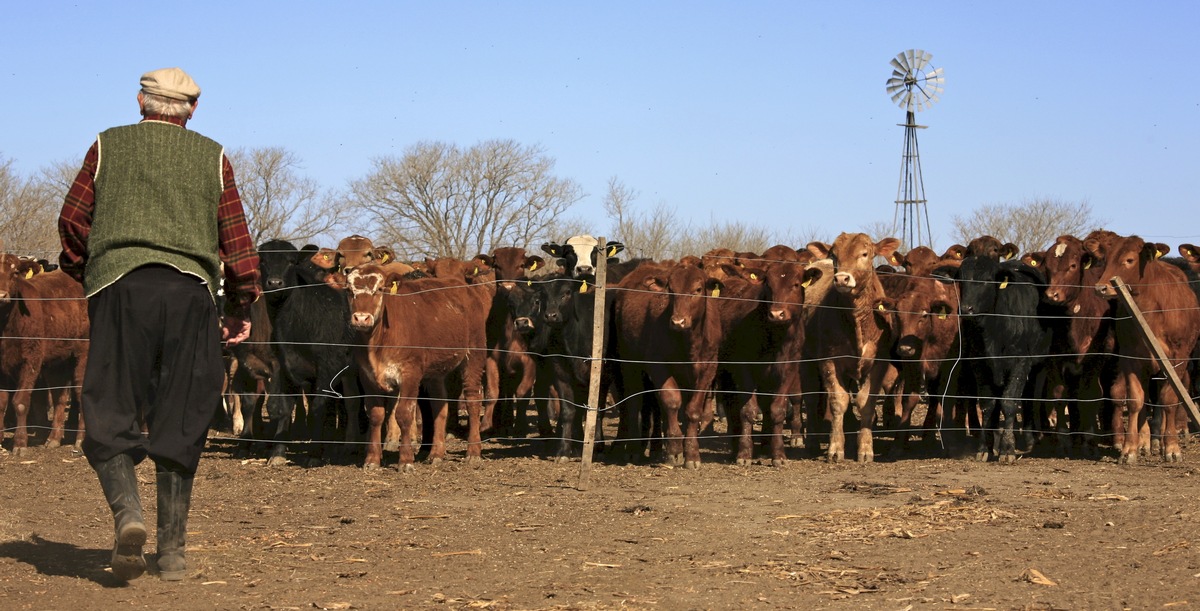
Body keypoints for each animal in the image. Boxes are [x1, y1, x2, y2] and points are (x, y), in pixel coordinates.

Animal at [0, 254, 88, 456]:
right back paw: (54, 438)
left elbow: (21, 402)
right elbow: (1, 403)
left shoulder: (31, 360)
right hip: (59, 362)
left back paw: (80, 441)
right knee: (59, 398)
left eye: (15, 272)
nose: (1, 295)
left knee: (80, 394)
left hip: (83, 354)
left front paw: (20, 443)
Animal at [340, 260, 489, 465]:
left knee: (473, 399)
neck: (377, 341)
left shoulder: (410, 373)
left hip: (474, 355)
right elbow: (376, 415)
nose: (361, 318)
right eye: (349, 290)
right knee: (439, 405)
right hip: (435, 372)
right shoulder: (367, 376)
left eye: (379, 289)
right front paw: (372, 460)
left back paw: (473, 452)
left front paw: (405, 460)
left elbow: (403, 414)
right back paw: (435, 454)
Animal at [806, 230, 902, 458]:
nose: (841, 278)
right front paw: (835, 447)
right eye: (834, 256)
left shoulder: (878, 363)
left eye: (864, 254)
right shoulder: (829, 361)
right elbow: (838, 402)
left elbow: (865, 403)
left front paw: (865, 448)